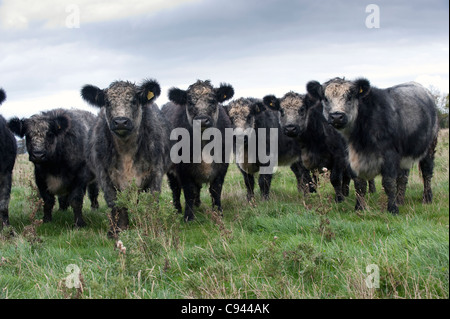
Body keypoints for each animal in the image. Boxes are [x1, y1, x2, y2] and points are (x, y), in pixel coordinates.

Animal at [81, 78, 172, 238]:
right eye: (107, 102)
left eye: (134, 101)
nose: (120, 121)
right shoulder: (105, 176)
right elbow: (116, 204)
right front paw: (117, 231)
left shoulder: (156, 173)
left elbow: (152, 201)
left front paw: (152, 227)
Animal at [162, 79, 234, 222]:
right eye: (190, 102)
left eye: (212, 100)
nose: (202, 120)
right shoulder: (183, 168)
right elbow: (188, 191)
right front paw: (188, 217)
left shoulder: (222, 166)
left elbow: (216, 190)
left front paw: (218, 213)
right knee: (175, 188)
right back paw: (177, 210)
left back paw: (197, 204)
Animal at [308, 77, 438, 215]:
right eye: (325, 98)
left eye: (350, 96)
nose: (337, 116)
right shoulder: (350, 157)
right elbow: (359, 184)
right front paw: (360, 207)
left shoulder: (390, 155)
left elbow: (389, 183)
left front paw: (392, 209)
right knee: (403, 177)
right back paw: (400, 200)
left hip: (430, 147)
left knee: (427, 172)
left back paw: (427, 198)